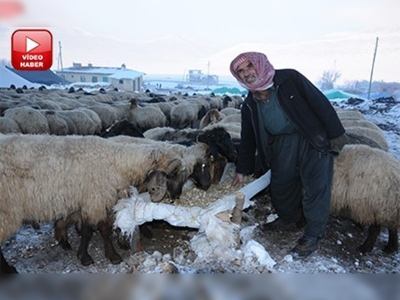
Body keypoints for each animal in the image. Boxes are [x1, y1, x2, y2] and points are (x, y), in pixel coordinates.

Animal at [0, 133, 188, 272]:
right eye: (172, 174)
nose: (176, 196)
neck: (116, 162)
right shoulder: (94, 200)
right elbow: (94, 230)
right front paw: (100, 256)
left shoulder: (92, 201)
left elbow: (93, 229)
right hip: (6, 211)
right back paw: (8, 270)